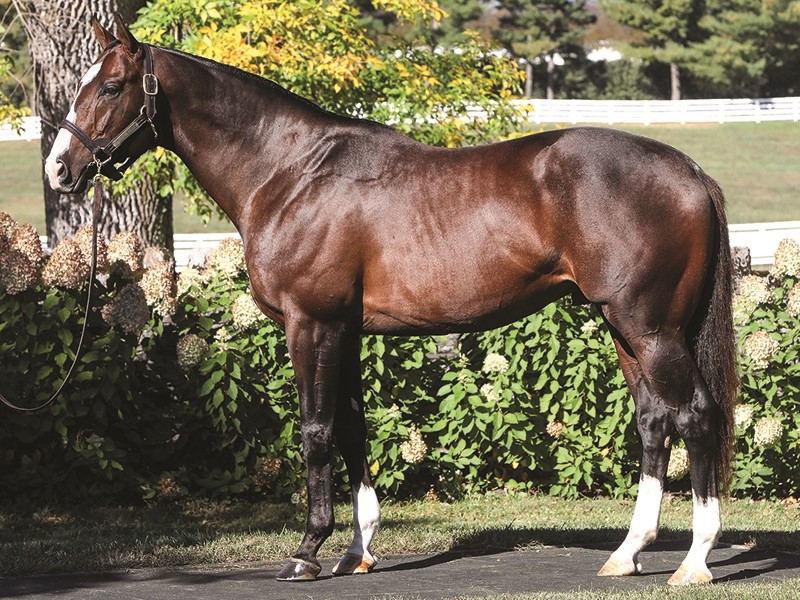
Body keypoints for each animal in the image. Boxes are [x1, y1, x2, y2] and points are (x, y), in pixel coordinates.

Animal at [45, 16, 737, 586]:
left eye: (111, 87)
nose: (59, 170)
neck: (290, 173)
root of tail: (690, 172)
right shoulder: (345, 330)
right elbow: (352, 426)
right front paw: (358, 550)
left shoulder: (312, 325)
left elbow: (317, 429)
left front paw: (307, 551)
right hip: (628, 329)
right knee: (655, 420)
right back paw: (628, 553)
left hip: (651, 328)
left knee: (697, 414)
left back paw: (695, 562)